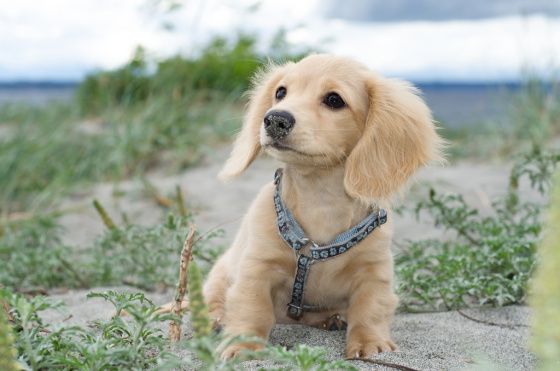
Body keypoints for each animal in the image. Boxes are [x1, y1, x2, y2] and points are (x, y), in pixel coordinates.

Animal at [203, 54, 444, 360]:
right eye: (280, 93)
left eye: (334, 100)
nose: (275, 119)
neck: (320, 199)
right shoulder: (257, 267)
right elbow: (251, 307)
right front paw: (242, 345)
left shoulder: (374, 271)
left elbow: (371, 310)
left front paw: (370, 344)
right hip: (220, 273)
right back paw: (211, 318)